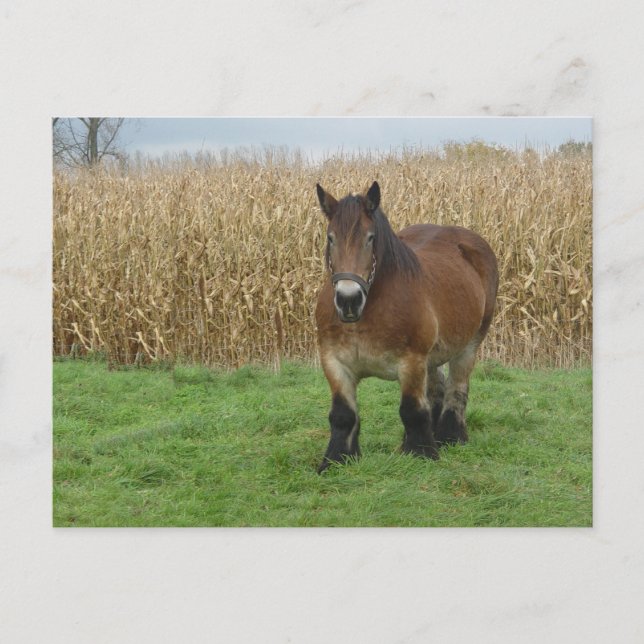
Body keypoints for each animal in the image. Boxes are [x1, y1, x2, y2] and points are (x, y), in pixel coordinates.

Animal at [314, 181, 499, 473]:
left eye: (370, 238)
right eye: (331, 238)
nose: (348, 299)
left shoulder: (411, 362)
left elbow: (411, 410)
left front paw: (421, 453)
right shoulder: (333, 361)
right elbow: (342, 414)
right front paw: (336, 460)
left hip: (469, 345)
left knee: (457, 387)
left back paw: (450, 437)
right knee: (437, 387)